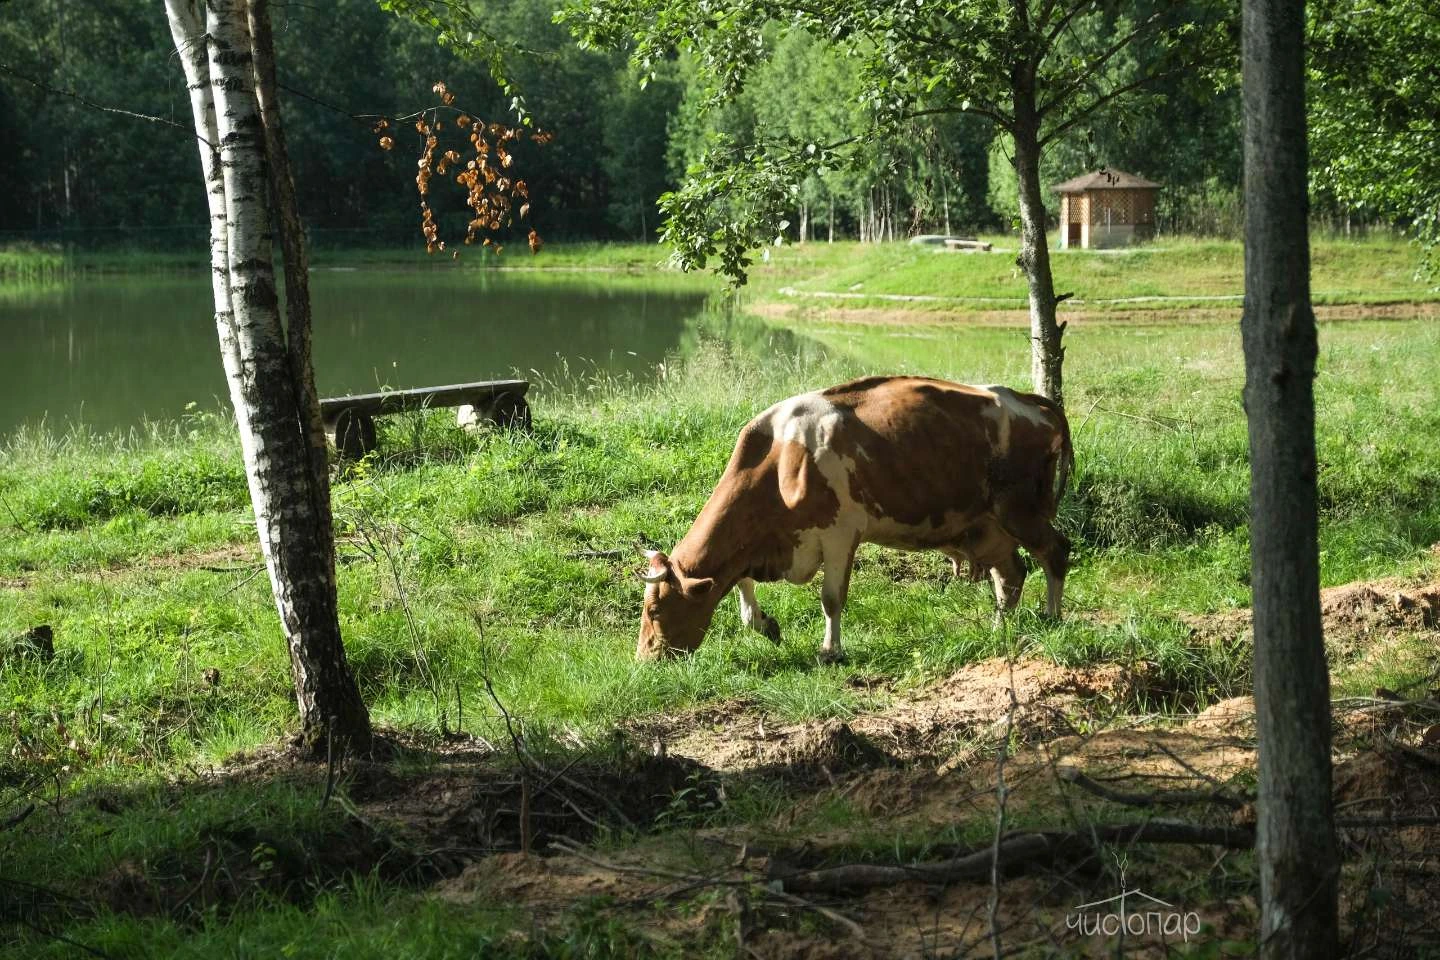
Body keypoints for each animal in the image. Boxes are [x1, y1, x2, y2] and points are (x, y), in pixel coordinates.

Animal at [636, 374, 1077, 662]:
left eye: (654, 612)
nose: (644, 659)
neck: (779, 459)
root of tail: (1029, 400)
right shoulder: (758, 548)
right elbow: (743, 592)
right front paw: (766, 624)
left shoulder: (839, 534)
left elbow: (831, 599)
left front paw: (830, 650)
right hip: (986, 527)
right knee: (1011, 575)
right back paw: (999, 629)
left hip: (1019, 508)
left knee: (1055, 551)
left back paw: (1052, 618)